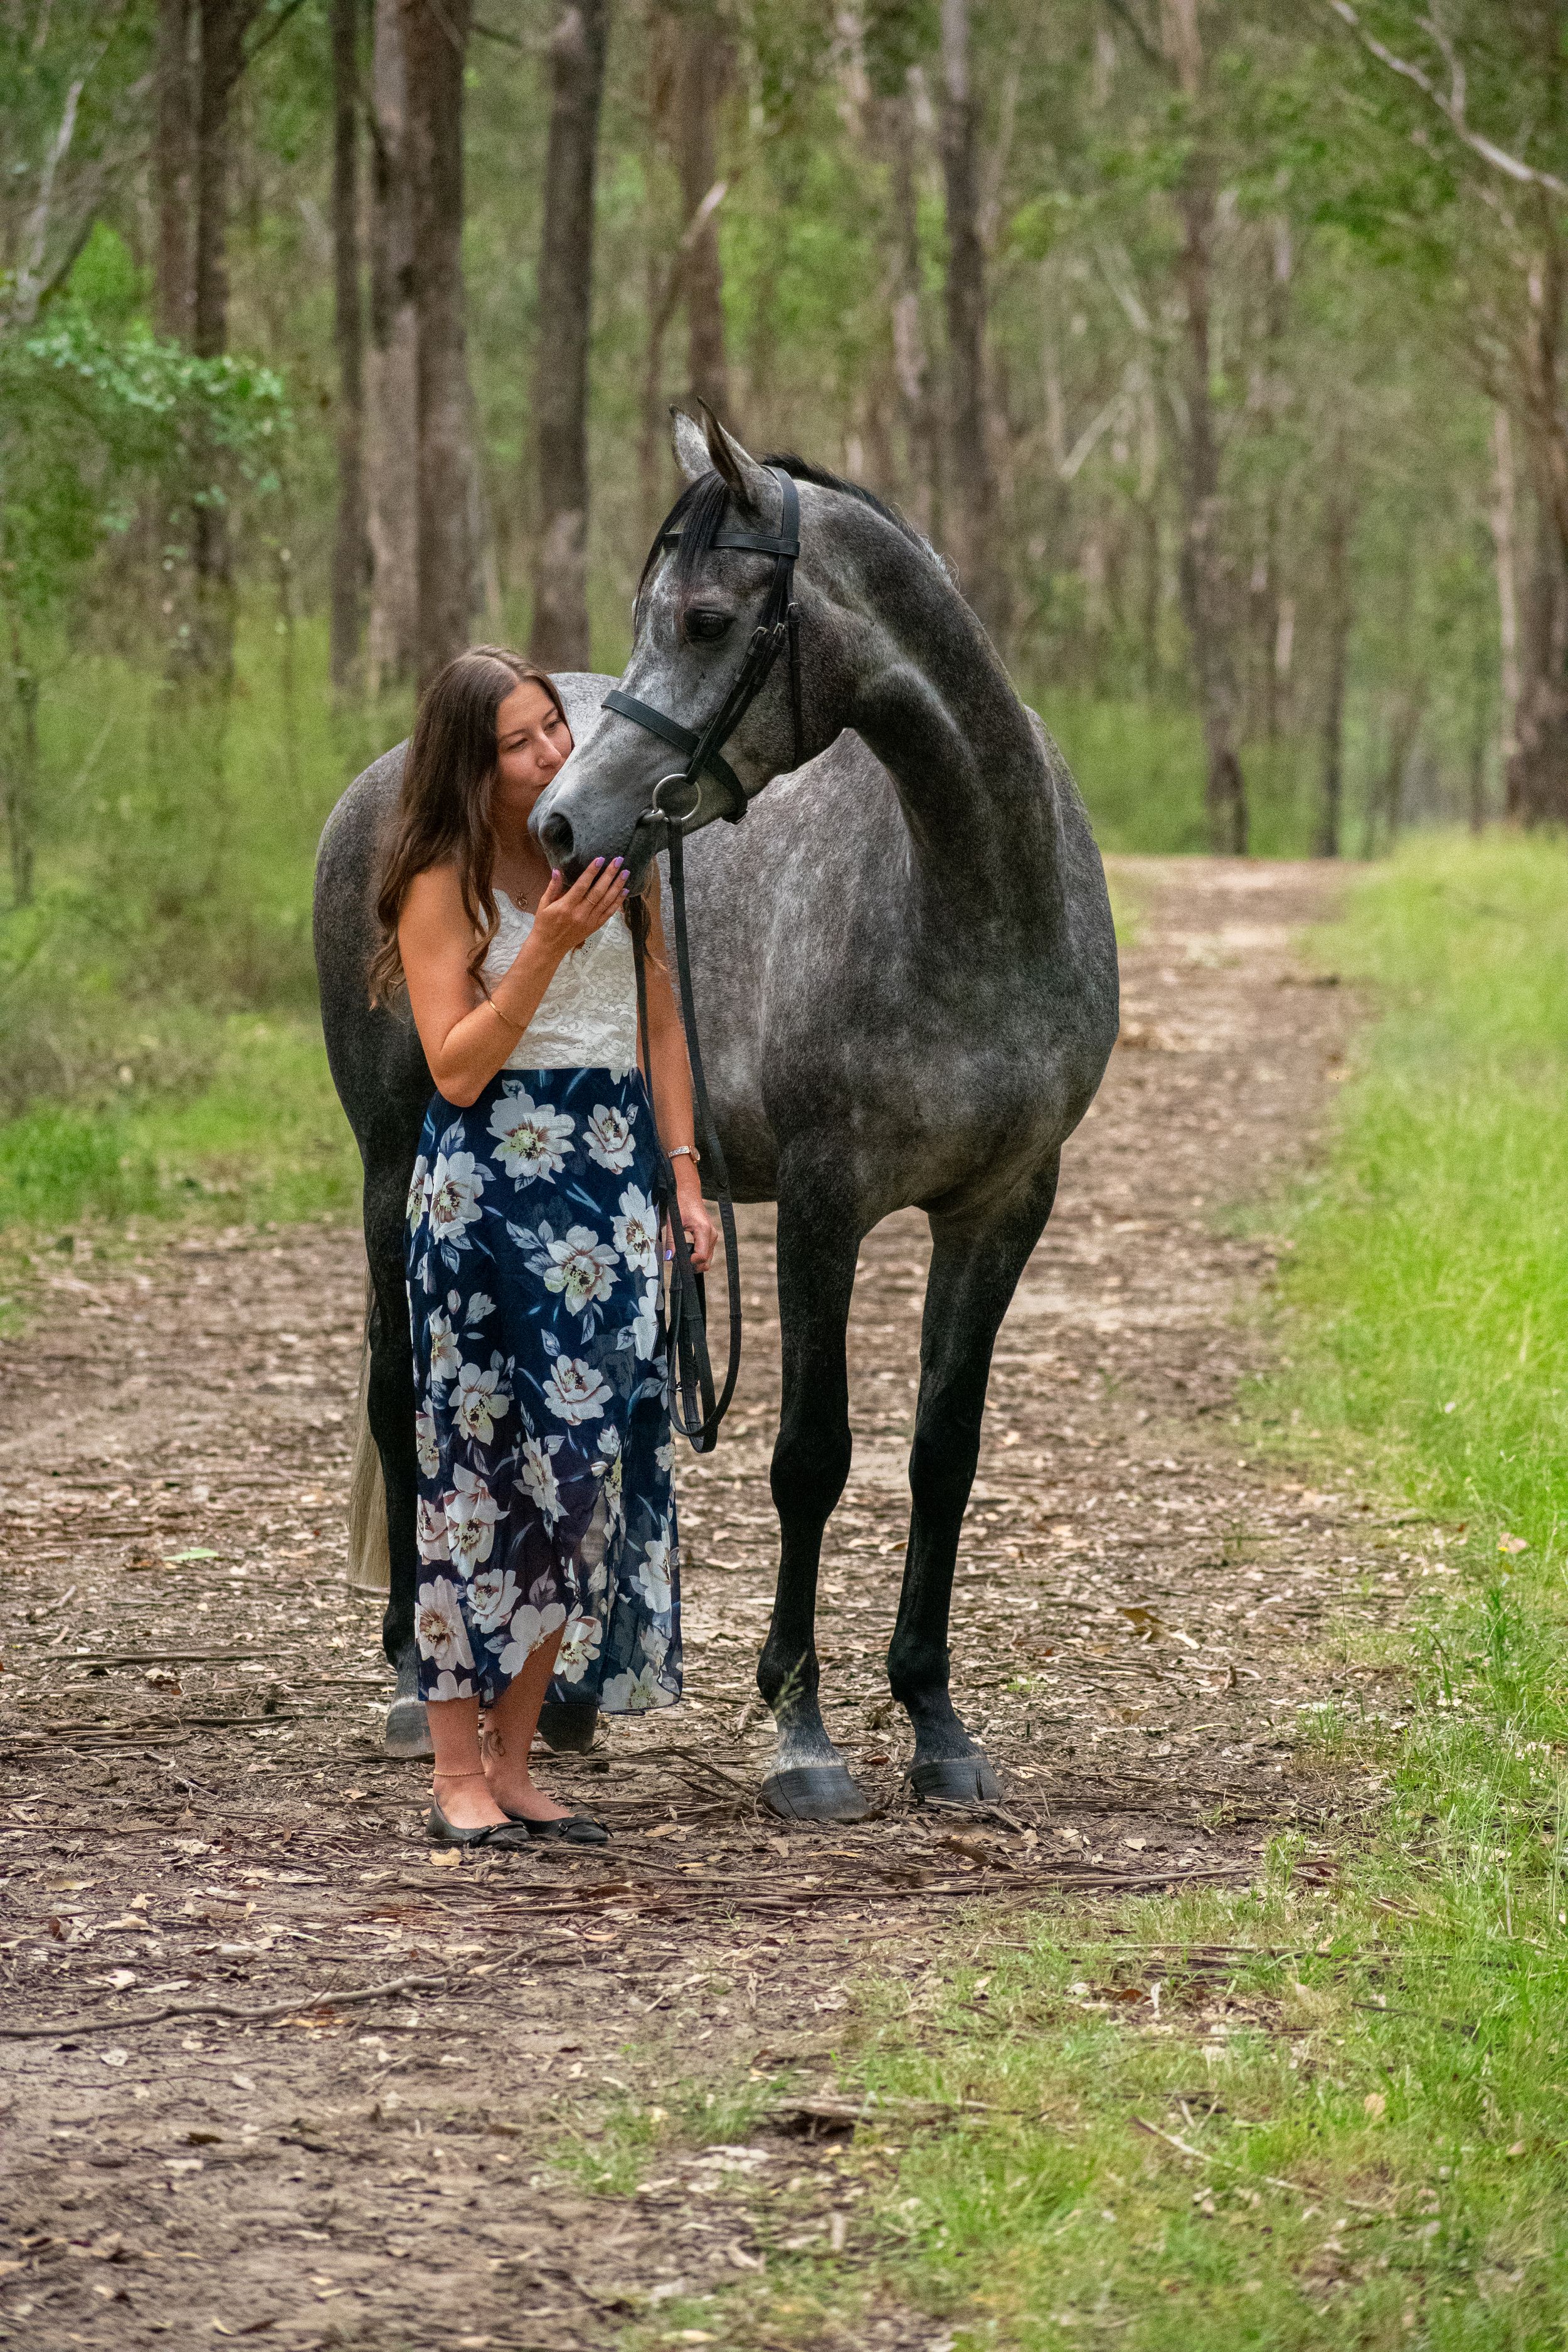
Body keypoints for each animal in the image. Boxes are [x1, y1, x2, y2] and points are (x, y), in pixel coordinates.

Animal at [314, 408, 1118, 1822]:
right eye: (650, 613)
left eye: (700, 619)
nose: (564, 822)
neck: (972, 902)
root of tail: (384, 781)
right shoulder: (822, 1203)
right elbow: (813, 1455)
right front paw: (802, 1735)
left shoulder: (1004, 1207)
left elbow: (942, 1455)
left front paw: (935, 1721)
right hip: (386, 1161)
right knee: (400, 1390)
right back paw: (420, 1679)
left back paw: (563, 1703)